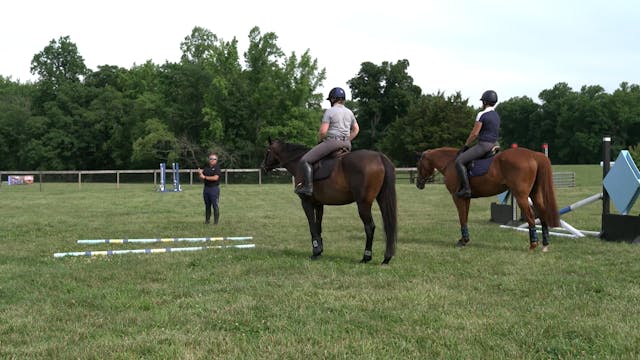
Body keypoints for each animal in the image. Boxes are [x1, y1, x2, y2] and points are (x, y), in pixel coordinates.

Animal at [260, 138, 396, 264]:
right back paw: (386, 257)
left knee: (369, 227)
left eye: (267, 151)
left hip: (363, 204)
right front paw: (319, 250)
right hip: (381, 199)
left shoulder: (306, 203)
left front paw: (315, 252)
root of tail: (379, 157)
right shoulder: (319, 204)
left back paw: (366, 257)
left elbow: (312, 227)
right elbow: (318, 226)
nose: (262, 167)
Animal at [418, 146, 556, 250]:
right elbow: (465, 217)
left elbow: (461, 218)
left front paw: (463, 241)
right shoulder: (466, 198)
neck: (450, 163)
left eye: (418, 165)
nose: (419, 184)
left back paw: (533, 244)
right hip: (534, 194)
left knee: (531, 216)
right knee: (542, 213)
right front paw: (464, 239)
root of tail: (533, 155)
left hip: (521, 196)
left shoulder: (457, 197)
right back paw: (545, 244)